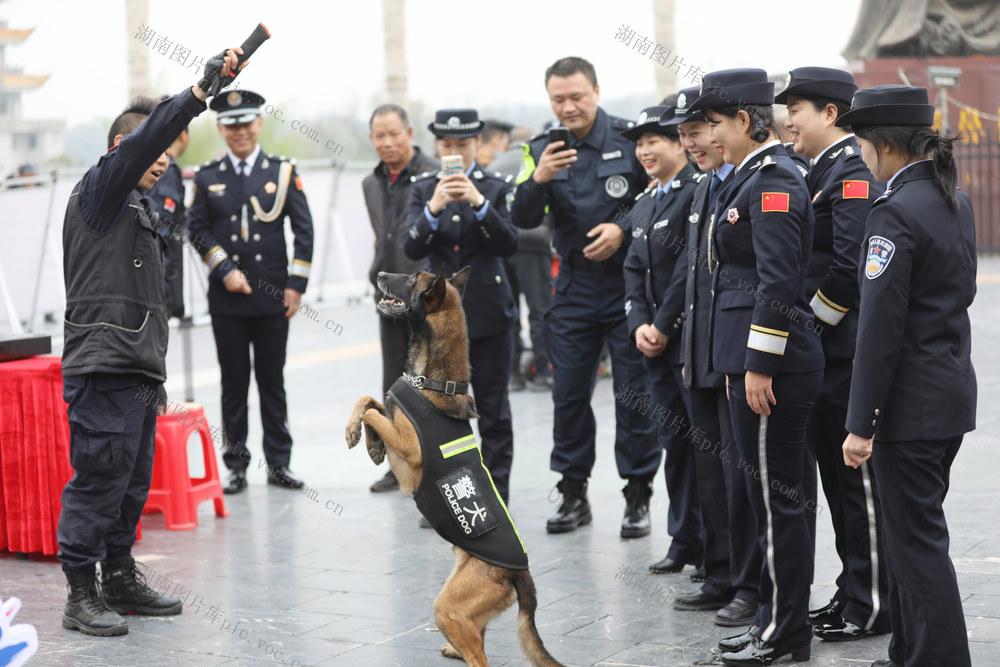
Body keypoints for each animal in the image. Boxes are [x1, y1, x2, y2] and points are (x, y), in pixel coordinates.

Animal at [346, 268, 568, 667]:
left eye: (411, 279)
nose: (380, 273)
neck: (434, 382)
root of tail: (520, 573)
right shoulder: (394, 420)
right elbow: (371, 399)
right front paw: (369, 443)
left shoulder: (409, 448)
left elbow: (372, 409)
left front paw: (358, 432)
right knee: (478, 637)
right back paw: (454, 650)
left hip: (446, 608)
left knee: (480, 656)